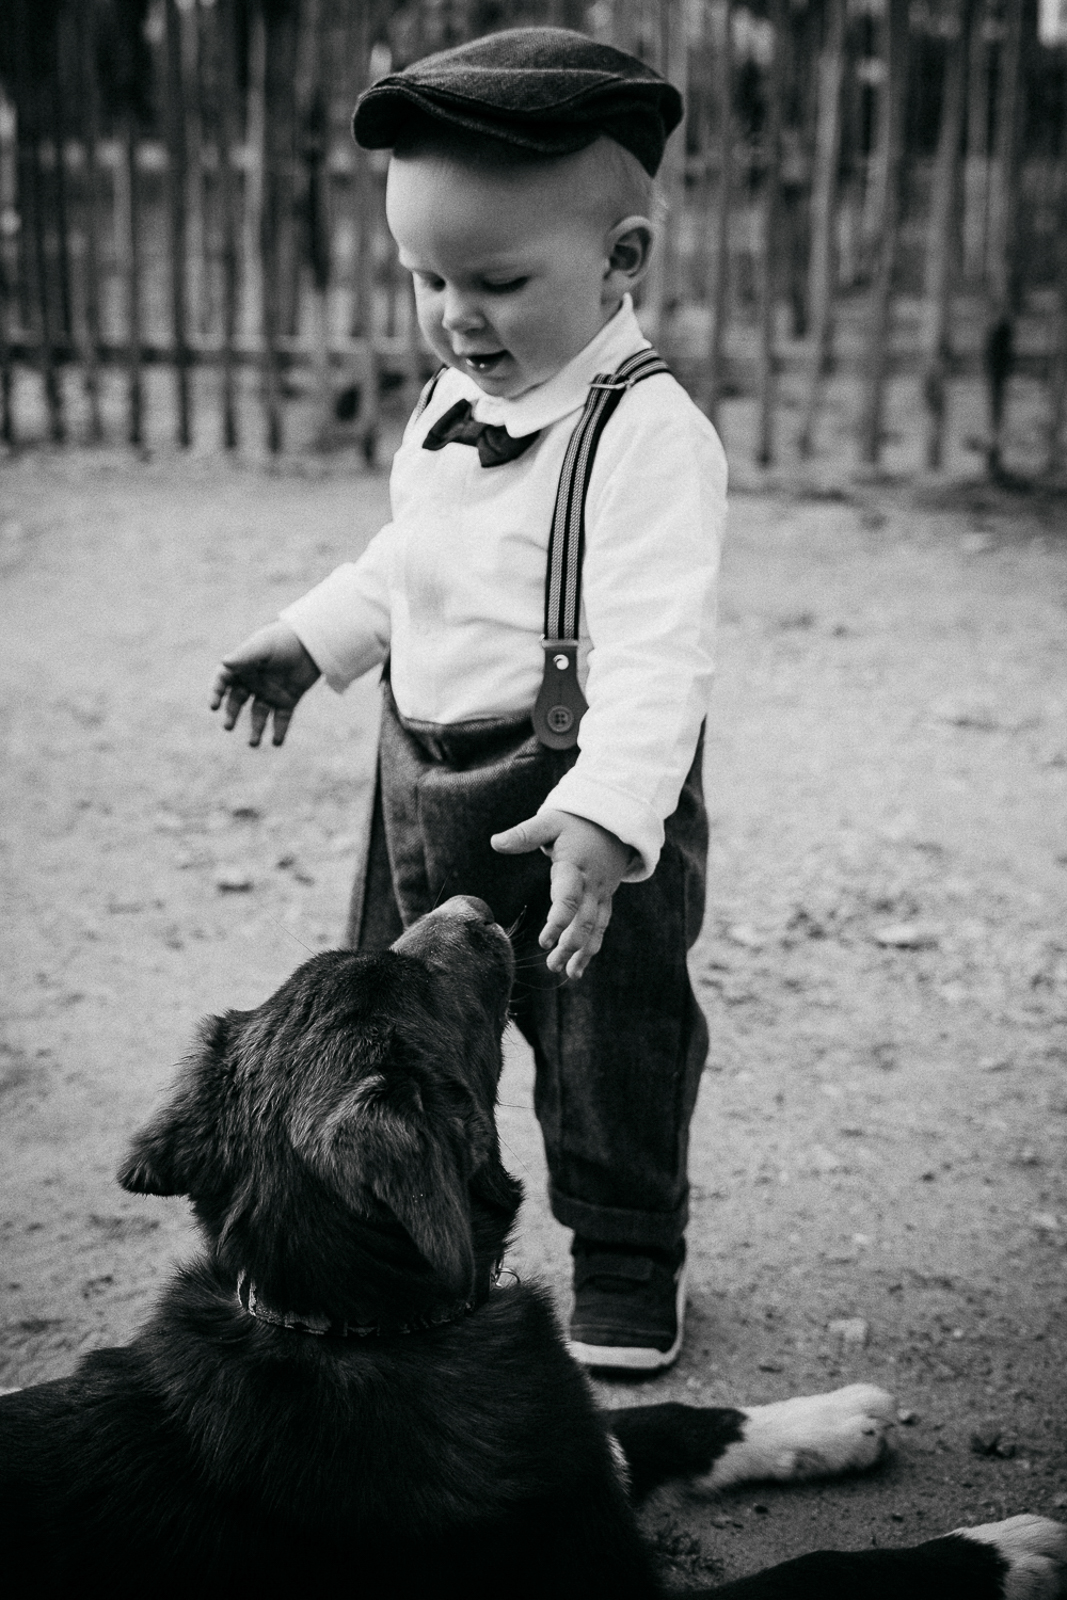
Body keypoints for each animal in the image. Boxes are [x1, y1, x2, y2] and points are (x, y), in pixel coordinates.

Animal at [1, 896, 1063, 1598]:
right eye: (418, 983)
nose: (474, 902)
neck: (349, 1324)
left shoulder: (577, 1457)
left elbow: (660, 1419)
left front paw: (823, 1418)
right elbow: (826, 1577)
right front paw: (1004, 1549)